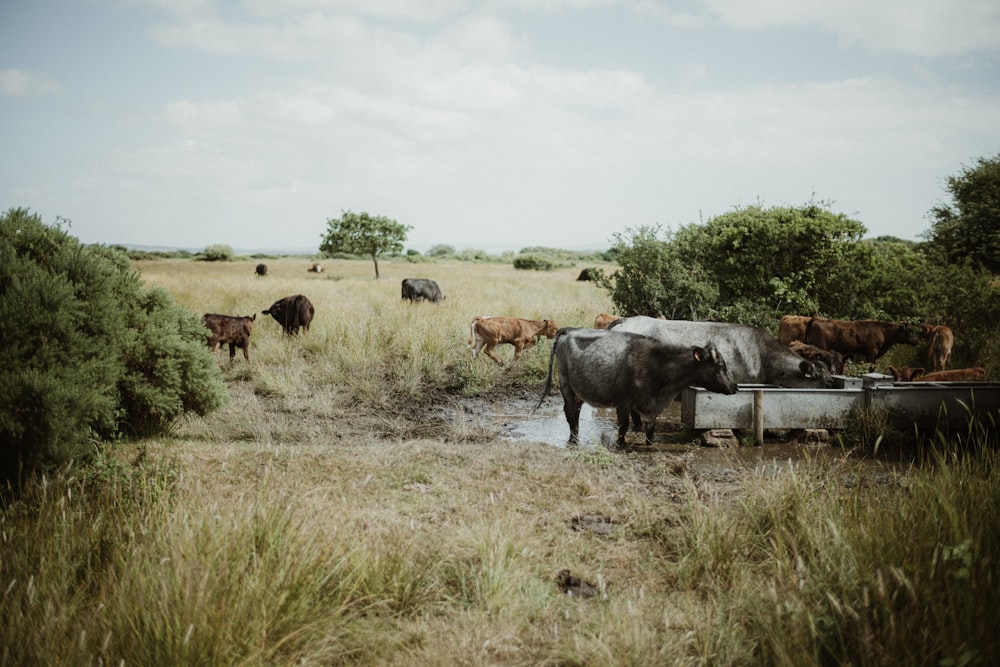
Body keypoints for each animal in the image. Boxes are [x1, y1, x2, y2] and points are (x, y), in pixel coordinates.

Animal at [536, 326, 740, 446]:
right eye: (720, 366)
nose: (735, 386)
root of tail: (569, 329)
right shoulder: (623, 400)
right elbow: (623, 425)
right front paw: (621, 444)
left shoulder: (652, 407)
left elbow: (650, 430)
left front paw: (650, 445)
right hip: (566, 384)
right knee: (570, 411)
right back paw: (573, 440)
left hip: (578, 390)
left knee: (575, 412)